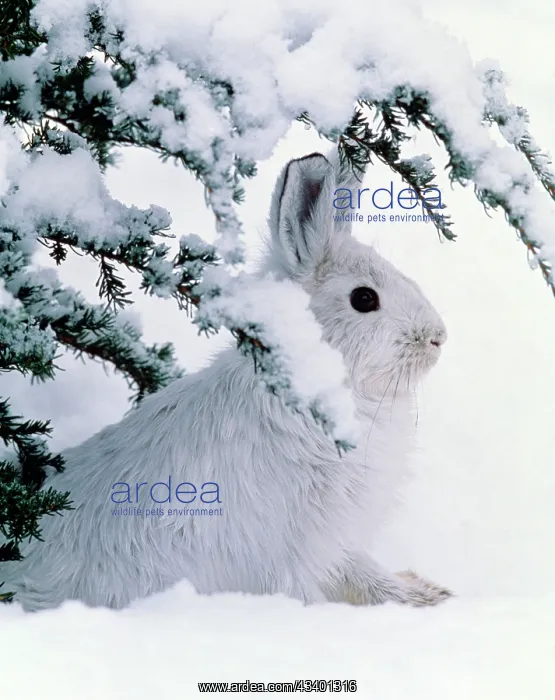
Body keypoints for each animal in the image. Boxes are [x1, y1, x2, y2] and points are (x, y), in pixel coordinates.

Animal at [1, 151, 452, 611]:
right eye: (364, 298)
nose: (438, 336)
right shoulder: (291, 546)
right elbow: (304, 592)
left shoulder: (334, 541)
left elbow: (362, 571)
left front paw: (426, 596)